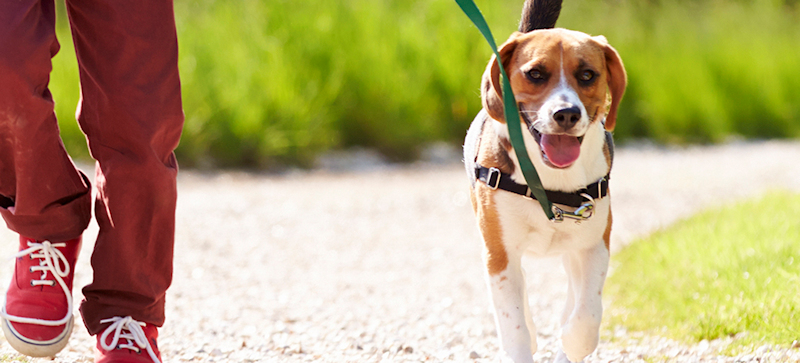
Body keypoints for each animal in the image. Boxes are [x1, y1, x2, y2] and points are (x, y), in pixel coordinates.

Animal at [462, 1, 624, 362]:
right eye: (535, 73)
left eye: (587, 75)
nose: (566, 114)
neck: (549, 182)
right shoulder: (499, 255)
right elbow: (515, 325)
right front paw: (526, 341)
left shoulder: (594, 246)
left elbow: (586, 315)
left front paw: (572, 342)